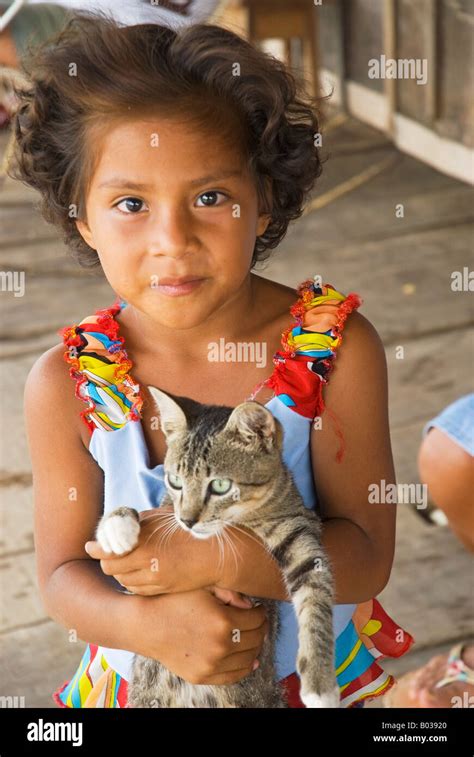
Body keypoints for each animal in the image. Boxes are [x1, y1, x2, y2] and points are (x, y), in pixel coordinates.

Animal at [96, 386, 338, 704]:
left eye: (220, 486)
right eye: (175, 480)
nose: (187, 520)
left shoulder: (299, 527)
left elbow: (315, 598)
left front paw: (320, 683)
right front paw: (117, 524)